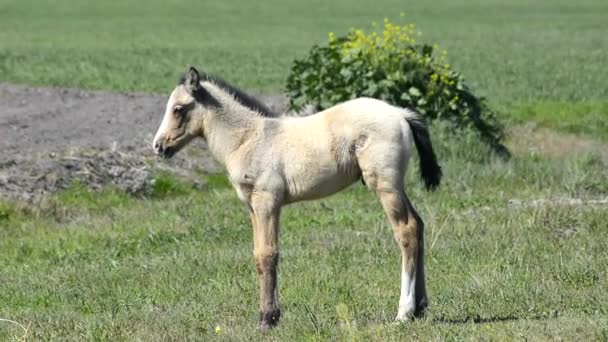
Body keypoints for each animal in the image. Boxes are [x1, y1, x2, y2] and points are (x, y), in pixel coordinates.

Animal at [153, 66, 442, 328]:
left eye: (178, 109)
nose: (158, 146)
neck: (248, 139)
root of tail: (401, 114)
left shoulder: (267, 201)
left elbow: (267, 254)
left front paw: (267, 319)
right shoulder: (252, 207)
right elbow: (258, 255)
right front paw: (269, 314)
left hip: (385, 185)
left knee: (406, 230)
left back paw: (404, 313)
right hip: (397, 187)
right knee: (419, 225)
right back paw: (421, 308)